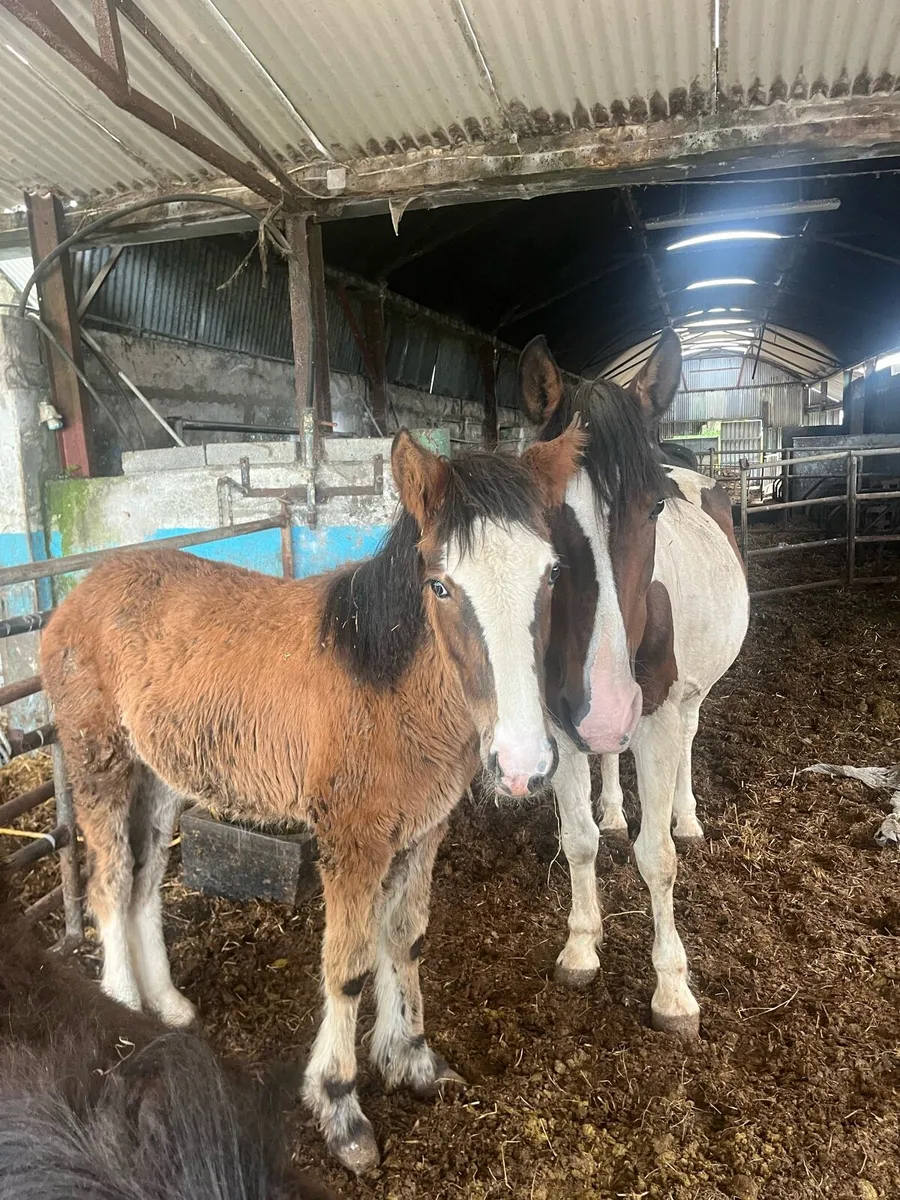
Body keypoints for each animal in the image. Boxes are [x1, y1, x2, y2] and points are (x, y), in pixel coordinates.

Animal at [40, 424, 583, 1173]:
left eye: (552, 574)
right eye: (440, 585)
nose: (524, 765)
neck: (385, 687)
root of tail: (78, 593)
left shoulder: (423, 829)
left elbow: (406, 939)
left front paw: (413, 1059)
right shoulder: (353, 840)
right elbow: (348, 967)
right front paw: (341, 1108)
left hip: (162, 778)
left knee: (146, 882)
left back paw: (171, 1007)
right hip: (101, 762)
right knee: (110, 879)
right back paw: (125, 1009)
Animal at [517, 329, 749, 1038]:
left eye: (653, 509)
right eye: (545, 513)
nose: (604, 702)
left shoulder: (656, 712)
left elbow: (657, 860)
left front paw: (672, 990)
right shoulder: (562, 719)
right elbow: (578, 840)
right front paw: (581, 946)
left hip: (684, 699)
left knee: (688, 743)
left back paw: (686, 816)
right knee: (610, 763)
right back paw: (618, 811)